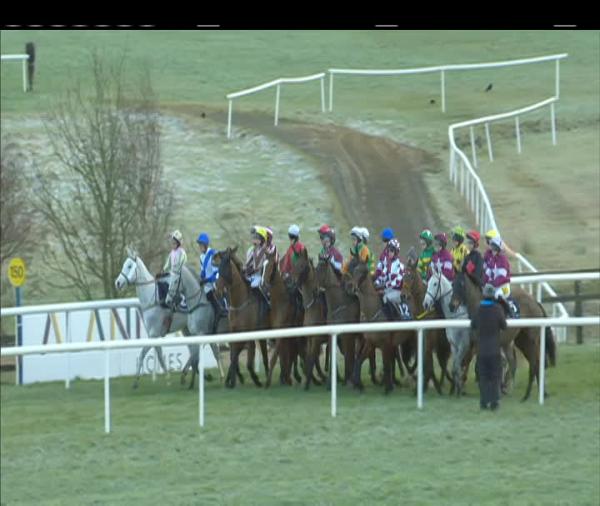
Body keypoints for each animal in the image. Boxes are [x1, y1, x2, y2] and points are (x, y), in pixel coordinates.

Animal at [114, 248, 223, 389]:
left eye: (129, 266)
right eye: (124, 265)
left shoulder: (153, 334)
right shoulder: (154, 335)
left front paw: (136, 381)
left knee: (203, 349)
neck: (152, 298)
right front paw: (167, 376)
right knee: (196, 350)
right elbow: (159, 355)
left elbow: (144, 353)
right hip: (187, 329)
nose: (117, 283)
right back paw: (198, 374)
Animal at [213, 247, 270, 389]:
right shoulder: (234, 332)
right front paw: (231, 380)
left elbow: (248, 362)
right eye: (217, 268)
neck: (240, 303)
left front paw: (255, 379)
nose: (216, 291)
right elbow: (233, 356)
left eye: (225, 268)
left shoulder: (249, 334)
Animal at [450, 271, 556, 401]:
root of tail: (535, 302)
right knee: (527, 363)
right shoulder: (478, 344)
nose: (451, 305)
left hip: (533, 339)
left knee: (536, 362)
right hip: (522, 340)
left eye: (462, 284)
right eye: (452, 284)